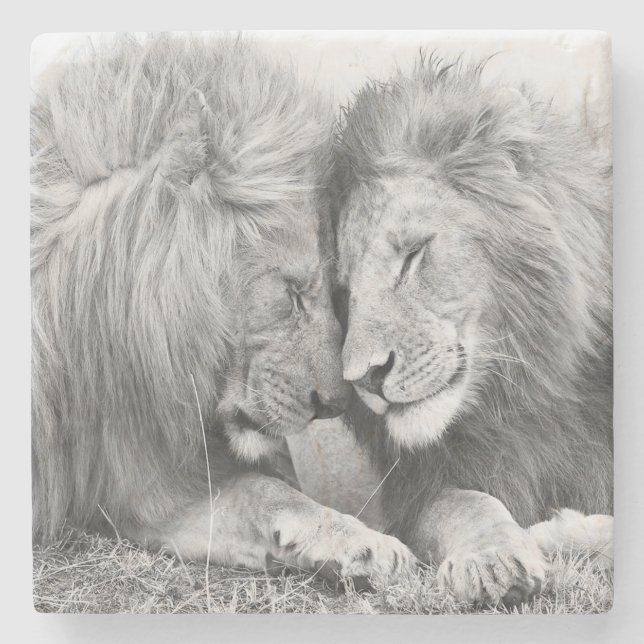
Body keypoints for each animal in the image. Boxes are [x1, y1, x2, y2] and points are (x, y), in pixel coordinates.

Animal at [332, 55, 613, 605]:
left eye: (413, 255)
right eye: (345, 293)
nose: (364, 379)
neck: (528, 392)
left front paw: (555, 532)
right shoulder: (423, 487)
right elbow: (464, 503)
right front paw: (493, 560)